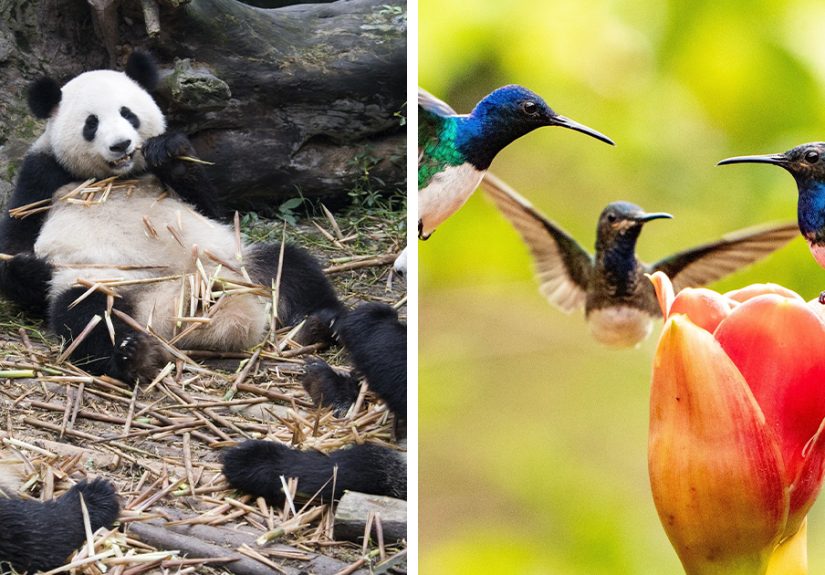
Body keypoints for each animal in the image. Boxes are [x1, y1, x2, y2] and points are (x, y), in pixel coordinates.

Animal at [0, 52, 343, 382]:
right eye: (91, 123)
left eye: (128, 113)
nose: (121, 145)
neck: (118, 177)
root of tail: (178, 306)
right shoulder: (42, 174)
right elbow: (16, 239)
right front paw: (31, 268)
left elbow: (208, 206)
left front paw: (169, 153)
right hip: (104, 284)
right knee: (88, 317)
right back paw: (133, 356)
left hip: (236, 263)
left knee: (291, 265)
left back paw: (321, 323)